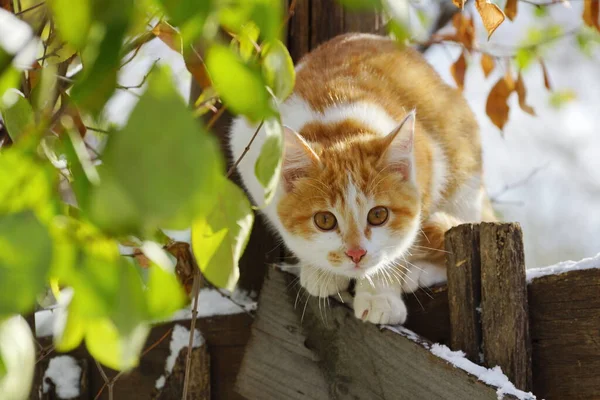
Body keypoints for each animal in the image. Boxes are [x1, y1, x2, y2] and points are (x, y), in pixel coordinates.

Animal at [227, 33, 494, 324]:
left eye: (378, 215)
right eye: (324, 220)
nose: (356, 253)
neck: (334, 126)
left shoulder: (430, 162)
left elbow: (402, 241)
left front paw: (380, 294)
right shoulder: (249, 149)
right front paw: (320, 271)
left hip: (464, 174)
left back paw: (419, 271)